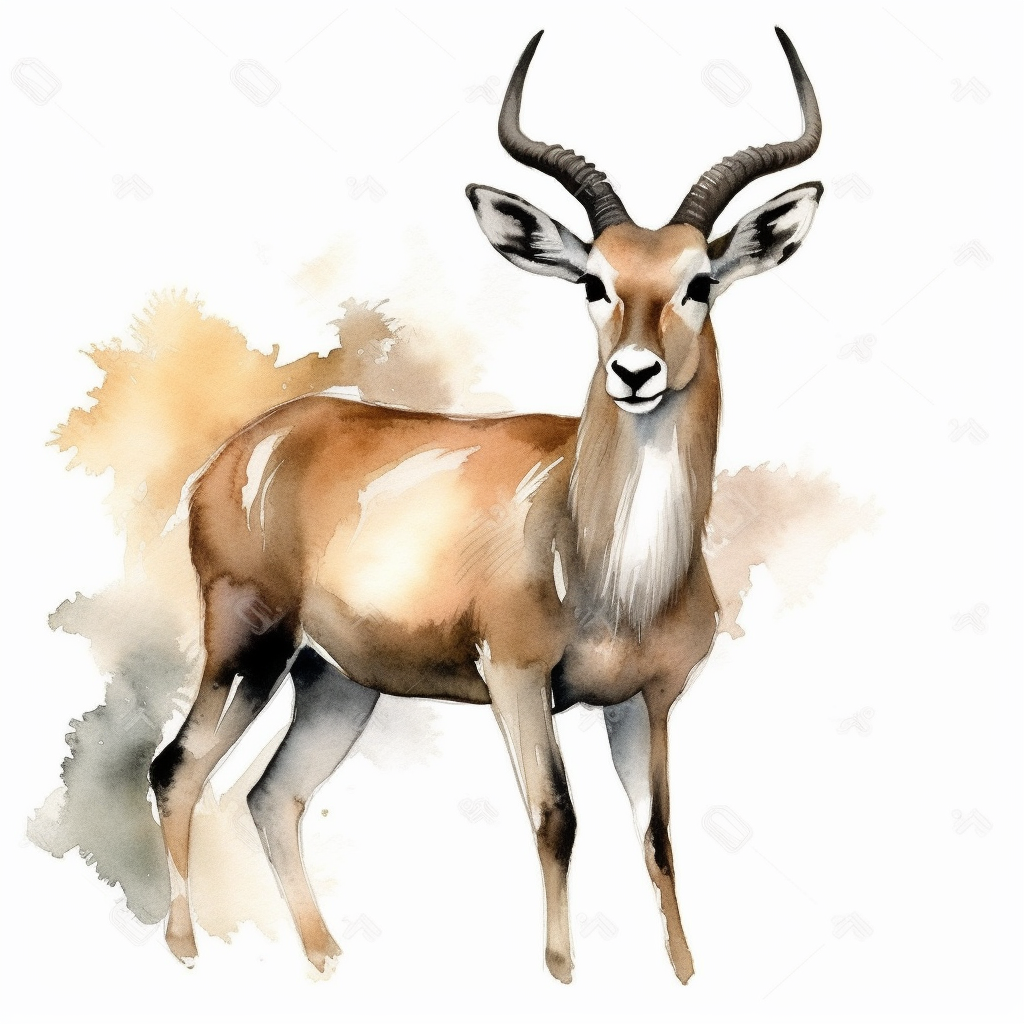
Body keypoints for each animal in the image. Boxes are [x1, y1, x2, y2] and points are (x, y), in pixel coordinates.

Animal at [149, 27, 823, 985]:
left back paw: (328, 959)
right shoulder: (516, 677)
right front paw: (561, 972)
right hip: (248, 643)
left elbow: (656, 837)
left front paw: (684, 975)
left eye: (699, 281)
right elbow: (557, 817)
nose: (636, 373)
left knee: (273, 795)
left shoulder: (647, 698)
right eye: (594, 282)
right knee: (178, 768)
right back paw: (185, 951)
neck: (610, 571)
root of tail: (240, 450)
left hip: (334, 680)